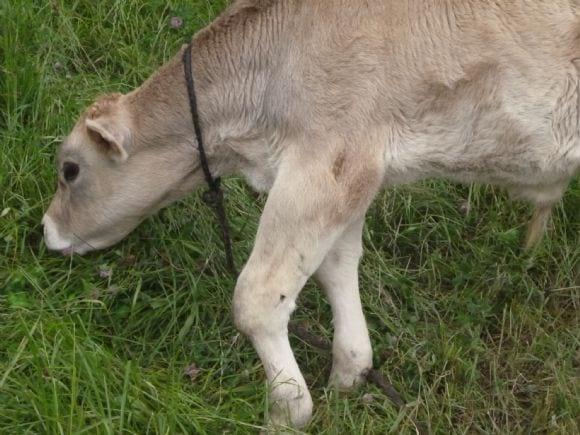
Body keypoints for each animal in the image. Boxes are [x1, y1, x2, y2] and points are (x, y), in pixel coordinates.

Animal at [43, 0, 580, 430]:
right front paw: (351, 370)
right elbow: (335, 266)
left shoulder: (324, 164)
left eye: (70, 169)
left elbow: (258, 297)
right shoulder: (353, 176)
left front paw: (286, 412)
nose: (45, 231)